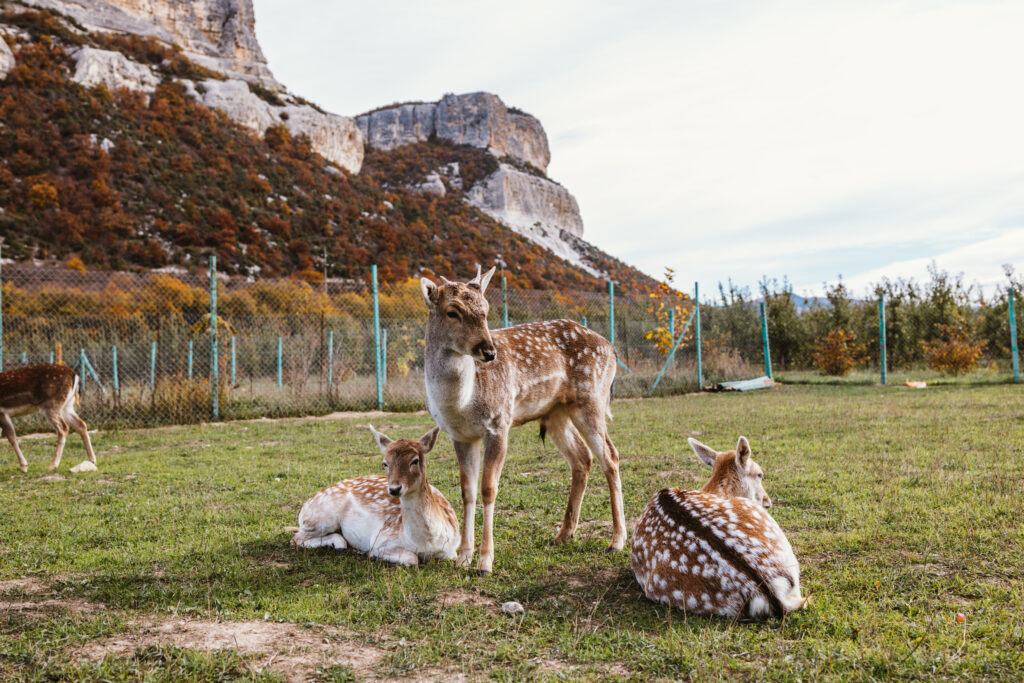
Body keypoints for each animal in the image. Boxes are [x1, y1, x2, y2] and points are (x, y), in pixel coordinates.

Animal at [292, 428, 460, 565]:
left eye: (415, 460)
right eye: (385, 463)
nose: (394, 488)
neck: (426, 542)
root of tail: (305, 507)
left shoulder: (452, 551)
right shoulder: (381, 539)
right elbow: (412, 559)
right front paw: (369, 553)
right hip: (321, 518)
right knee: (296, 537)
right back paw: (342, 545)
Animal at [415, 264, 622, 573]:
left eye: (486, 310)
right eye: (452, 311)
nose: (488, 351)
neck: (463, 403)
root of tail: (611, 348)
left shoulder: (499, 423)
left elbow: (489, 489)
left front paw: (485, 562)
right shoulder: (460, 435)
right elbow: (467, 491)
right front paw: (463, 557)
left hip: (591, 399)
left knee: (610, 456)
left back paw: (616, 541)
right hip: (557, 412)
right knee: (582, 458)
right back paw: (562, 535)